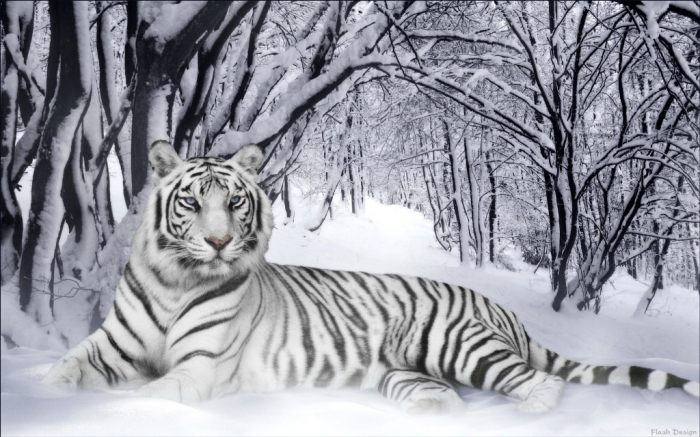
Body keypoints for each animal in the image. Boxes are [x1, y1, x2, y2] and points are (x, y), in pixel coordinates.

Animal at [42, 140, 699, 414]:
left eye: (234, 202)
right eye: (191, 202)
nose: (220, 242)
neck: (177, 280)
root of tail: (500, 308)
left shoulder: (200, 368)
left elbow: (147, 396)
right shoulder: (109, 346)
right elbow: (63, 371)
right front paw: (47, 399)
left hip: (457, 344)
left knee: (540, 383)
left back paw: (529, 415)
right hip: (404, 373)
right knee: (445, 396)